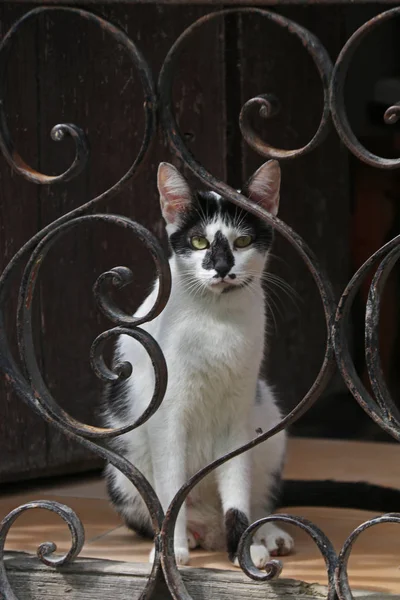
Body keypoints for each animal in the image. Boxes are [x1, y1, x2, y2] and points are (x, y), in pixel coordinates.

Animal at [103, 159, 294, 568]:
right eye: (198, 242)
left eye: (242, 242)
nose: (221, 267)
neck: (215, 321)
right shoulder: (167, 418)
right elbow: (172, 489)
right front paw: (171, 552)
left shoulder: (238, 418)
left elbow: (237, 488)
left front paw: (244, 550)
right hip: (123, 469)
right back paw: (188, 535)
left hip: (268, 426)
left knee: (255, 499)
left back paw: (266, 534)